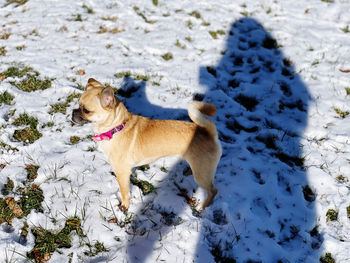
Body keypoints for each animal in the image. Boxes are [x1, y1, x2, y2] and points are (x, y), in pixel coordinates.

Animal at [72, 78, 221, 212]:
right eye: (78, 105)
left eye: (86, 110)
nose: (73, 112)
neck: (116, 128)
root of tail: (208, 132)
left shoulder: (121, 172)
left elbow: (125, 192)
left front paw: (124, 207)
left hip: (202, 175)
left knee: (213, 191)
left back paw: (201, 207)